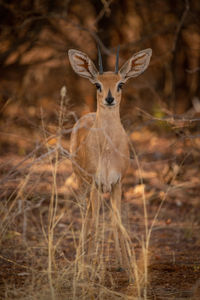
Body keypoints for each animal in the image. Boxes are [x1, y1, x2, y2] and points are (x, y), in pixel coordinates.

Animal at [68, 45, 151, 268]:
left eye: (121, 83)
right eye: (97, 84)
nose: (110, 98)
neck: (106, 152)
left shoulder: (117, 183)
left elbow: (116, 223)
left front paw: (124, 264)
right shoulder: (96, 183)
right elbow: (96, 222)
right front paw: (92, 264)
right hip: (82, 184)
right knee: (85, 216)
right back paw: (81, 259)